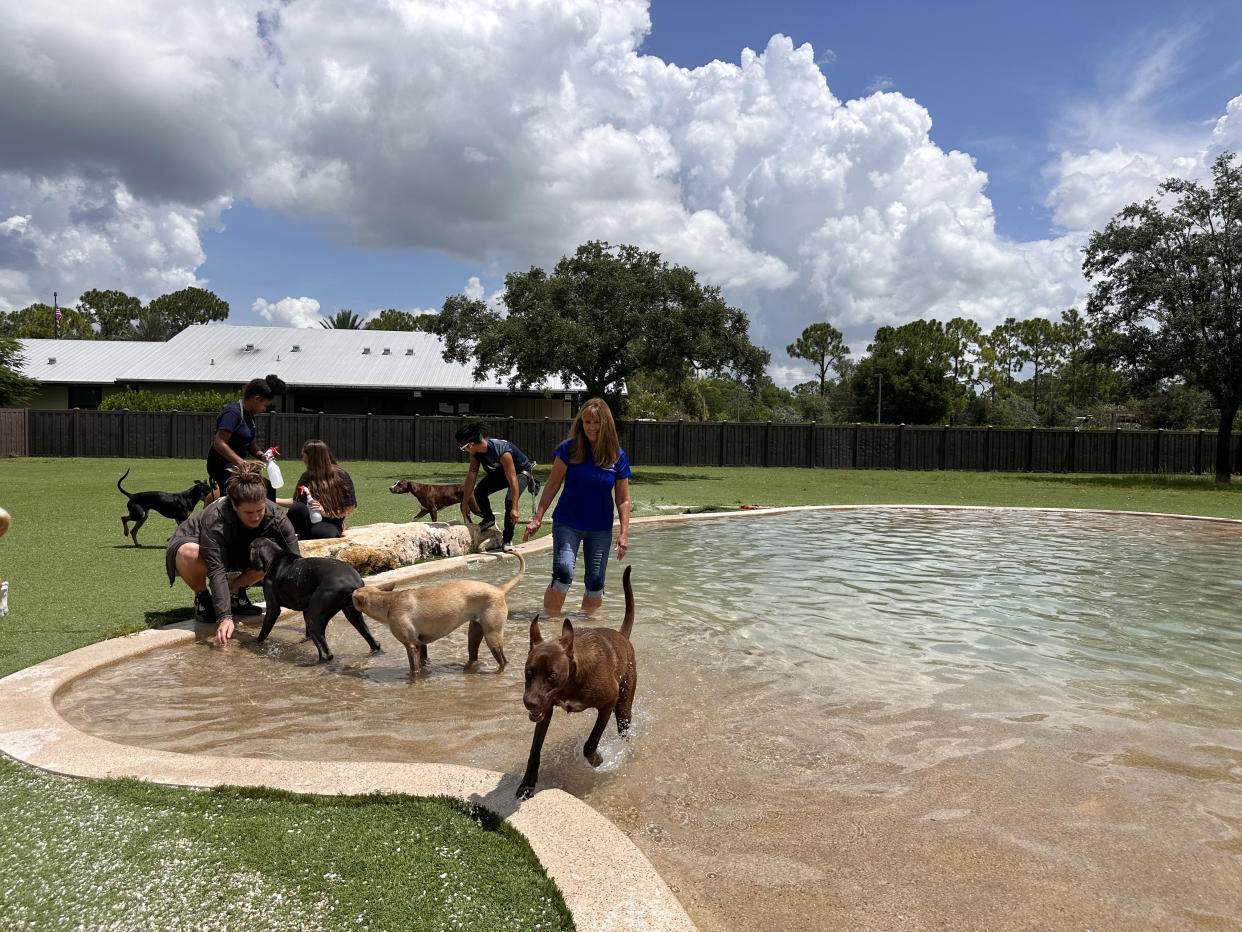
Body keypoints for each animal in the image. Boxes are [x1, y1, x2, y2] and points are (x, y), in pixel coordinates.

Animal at [249, 539, 385, 666]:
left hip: (314, 617)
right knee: (374, 643)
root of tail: (354, 583)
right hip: (352, 613)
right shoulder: (305, 607)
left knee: (326, 654)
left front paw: (255, 644)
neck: (275, 556)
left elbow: (263, 632)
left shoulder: (273, 609)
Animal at [350, 551, 524, 676]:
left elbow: (414, 670)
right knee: (475, 656)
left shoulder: (411, 645)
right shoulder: (421, 643)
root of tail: (499, 590)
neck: (389, 602)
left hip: (492, 636)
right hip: (475, 631)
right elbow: (423, 663)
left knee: (502, 661)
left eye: (351, 597)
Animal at [516, 566, 635, 800]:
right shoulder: (545, 710)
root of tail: (622, 637)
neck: (572, 681)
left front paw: (597, 758)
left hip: (623, 707)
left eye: (552, 675)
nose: (529, 703)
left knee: (624, 731)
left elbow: (590, 744)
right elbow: (535, 750)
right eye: (528, 672)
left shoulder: (608, 703)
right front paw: (527, 784)